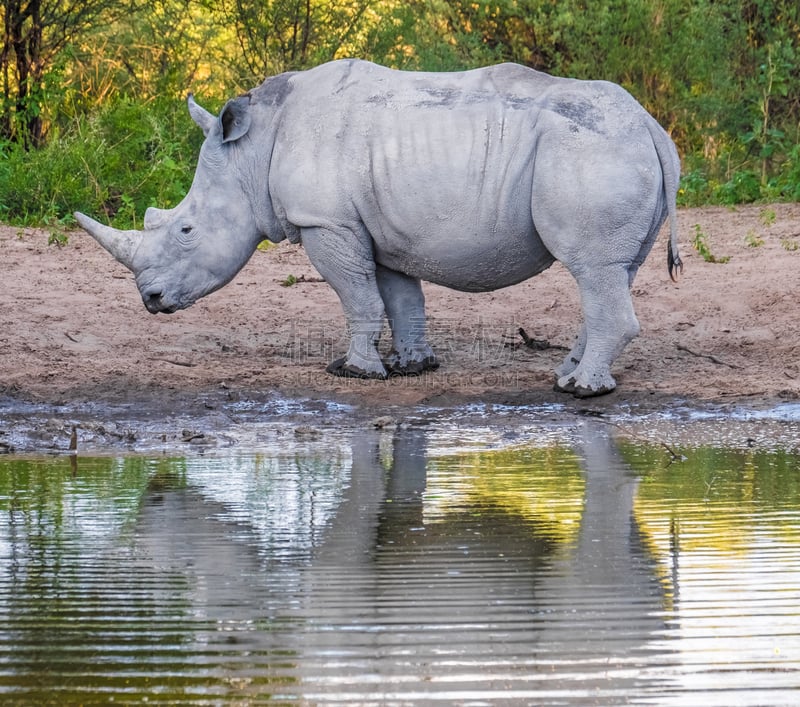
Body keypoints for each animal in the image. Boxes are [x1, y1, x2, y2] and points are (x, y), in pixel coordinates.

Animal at [78, 59, 680, 398]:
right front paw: (414, 367)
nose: (151, 300)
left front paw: (355, 371)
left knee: (593, 268)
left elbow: (357, 298)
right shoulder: (379, 229)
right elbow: (399, 298)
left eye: (185, 230)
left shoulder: (327, 222)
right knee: (614, 271)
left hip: (592, 150)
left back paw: (581, 392)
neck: (250, 155)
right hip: (615, 150)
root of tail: (651, 125)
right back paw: (566, 375)